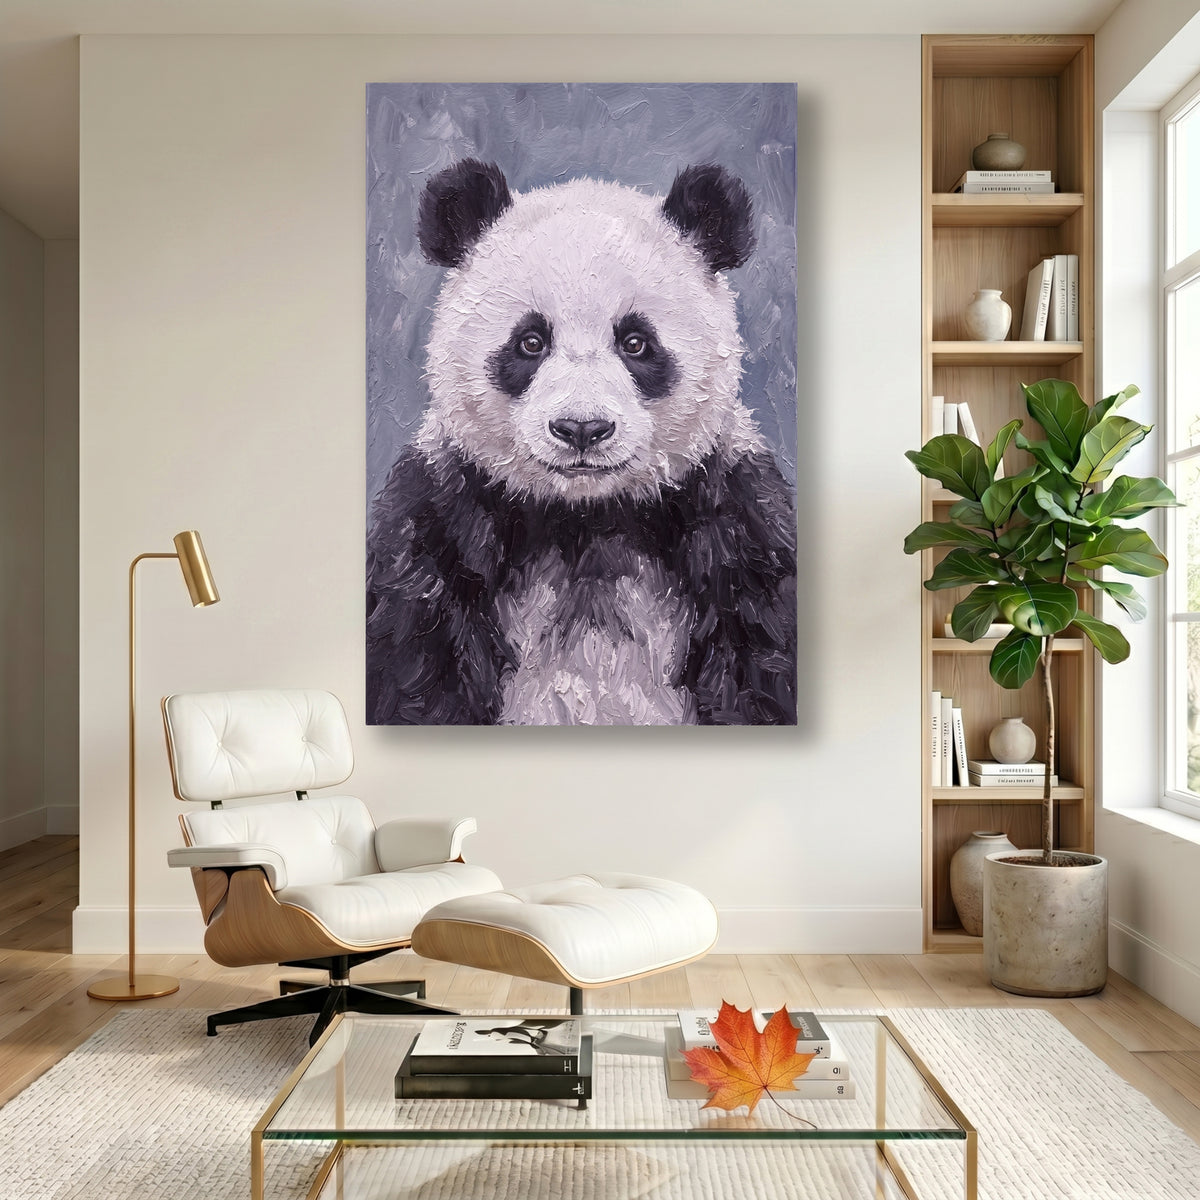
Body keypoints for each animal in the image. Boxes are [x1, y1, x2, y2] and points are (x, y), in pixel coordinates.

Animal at [366, 159, 796, 726]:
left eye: (636, 342)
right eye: (530, 341)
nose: (582, 430)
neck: (586, 519)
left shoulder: (736, 521)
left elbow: (766, 668)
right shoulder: (442, 518)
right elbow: (413, 665)